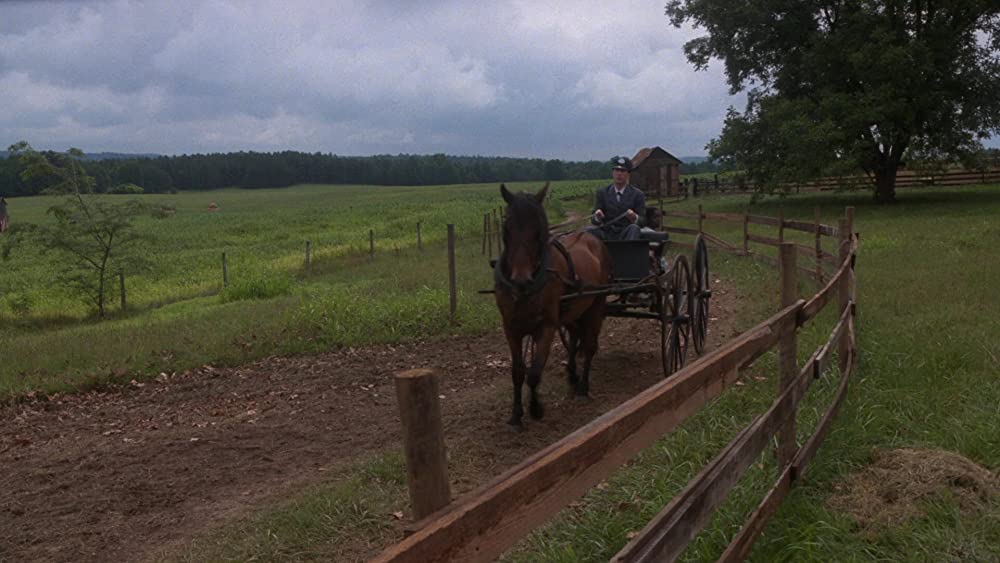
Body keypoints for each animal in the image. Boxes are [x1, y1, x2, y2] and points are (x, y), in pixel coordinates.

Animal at [494, 183, 612, 430]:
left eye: (539, 229)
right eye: (507, 228)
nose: (521, 280)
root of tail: (593, 238)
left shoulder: (547, 327)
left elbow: (534, 372)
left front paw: (536, 409)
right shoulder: (511, 328)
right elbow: (518, 372)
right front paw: (515, 416)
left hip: (596, 305)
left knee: (589, 346)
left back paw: (582, 387)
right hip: (574, 311)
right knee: (575, 336)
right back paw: (572, 375)